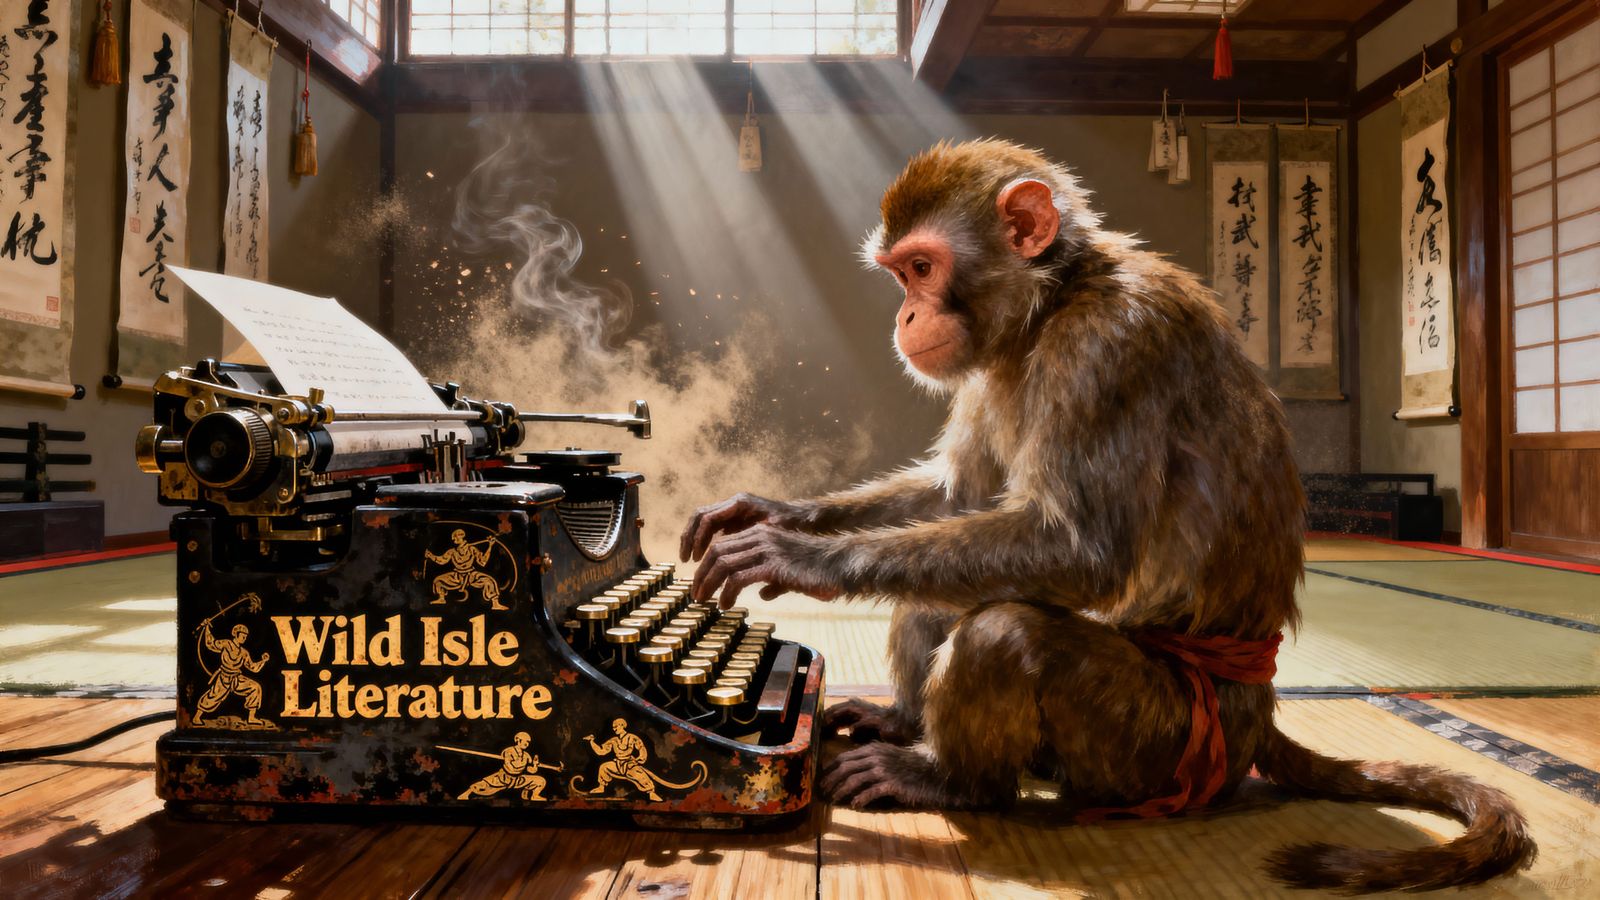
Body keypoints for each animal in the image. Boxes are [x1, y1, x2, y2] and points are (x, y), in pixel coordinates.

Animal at [679, 139, 1534, 893]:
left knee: (1004, 629)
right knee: (941, 586)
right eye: (900, 275)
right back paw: (902, 724)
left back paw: (954, 782)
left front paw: (798, 557)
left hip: (1160, 745)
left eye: (922, 269)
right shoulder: (992, 363)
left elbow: (1081, 551)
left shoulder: (1108, 347)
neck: (1053, 301)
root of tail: (1256, 712)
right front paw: (770, 510)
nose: (907, 318)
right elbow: (958, 498)